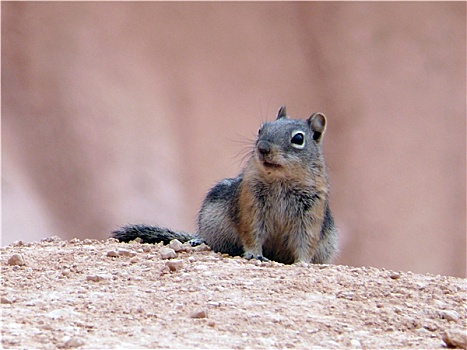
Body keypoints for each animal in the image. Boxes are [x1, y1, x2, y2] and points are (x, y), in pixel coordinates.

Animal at [113, 105, 340, 264]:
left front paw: (303, 263)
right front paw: (254, 254)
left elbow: (306, 241)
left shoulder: (311, 212)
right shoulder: (251, 203)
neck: (280, 179)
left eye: (298, 139)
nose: (263, 147)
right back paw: (199, 240)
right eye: (261, 129)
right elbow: (252, 232)